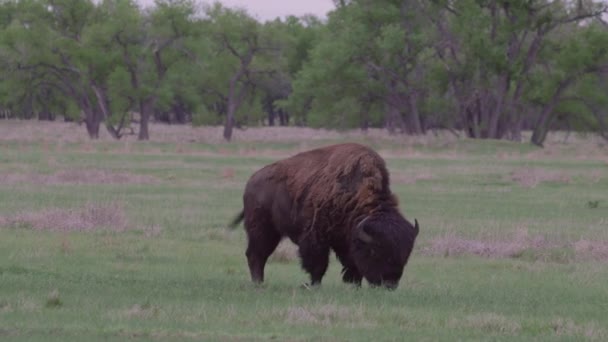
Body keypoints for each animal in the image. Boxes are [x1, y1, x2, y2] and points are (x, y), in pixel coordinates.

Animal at [228, 142, 418, 288]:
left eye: (405, 255)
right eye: (375, 252)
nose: (389, 284)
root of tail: (251, 182)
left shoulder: (345, 240)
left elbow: (351, 264)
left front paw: (354, 284)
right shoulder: (316, 238)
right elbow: (318, 264)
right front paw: (315, 285)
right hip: (262, 230)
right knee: (256, 255)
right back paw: (258, 283)